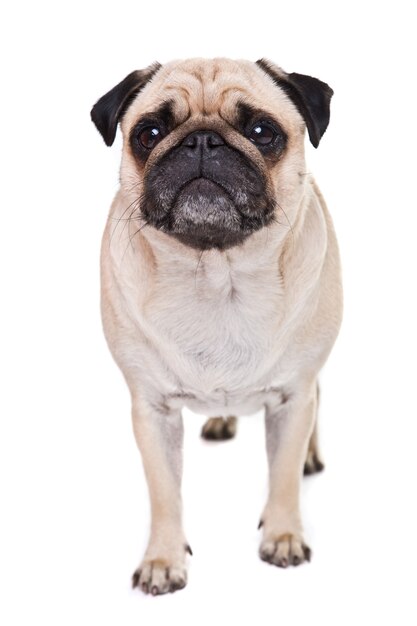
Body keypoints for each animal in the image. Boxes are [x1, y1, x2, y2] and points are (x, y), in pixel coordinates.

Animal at [90, 58, 342, 596]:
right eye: (149, 133)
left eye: (262, 132)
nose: (202, 140)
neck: (216, 273)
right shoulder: (152, 411)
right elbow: (164, 493)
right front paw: (163, 560)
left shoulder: (293, 397)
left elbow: (284, 476)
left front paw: (283, 536)